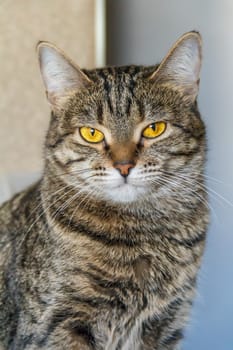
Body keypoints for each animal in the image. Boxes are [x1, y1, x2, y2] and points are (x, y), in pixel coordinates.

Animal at [0, 31, 208, 348]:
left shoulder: (167, 320)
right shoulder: (59, 326)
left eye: (155, 128)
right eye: (91, 133)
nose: (124, 165)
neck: (142, 234)